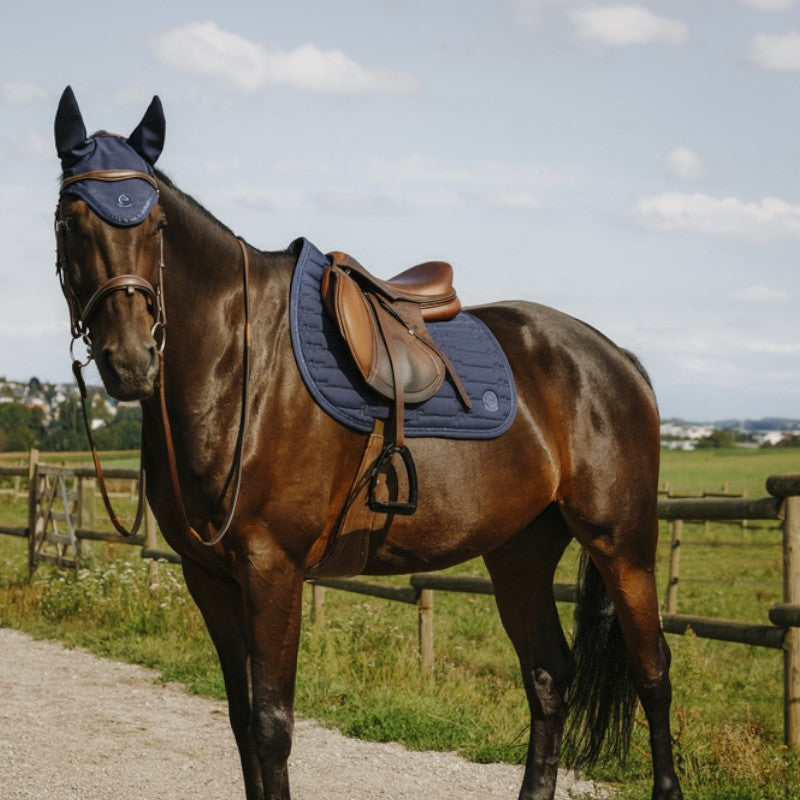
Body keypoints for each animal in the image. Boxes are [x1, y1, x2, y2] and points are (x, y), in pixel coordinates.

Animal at [52, 86, 684, 800]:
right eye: (71, 221)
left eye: (156, 225)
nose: (132, 360)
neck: (239, 363)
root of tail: (615, 359)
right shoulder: (209, 576)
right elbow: (240, 719)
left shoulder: (272, 568)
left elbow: (271, 726)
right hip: (520, 553)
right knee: (549, 675)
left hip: (622, 544)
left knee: (652, 671)